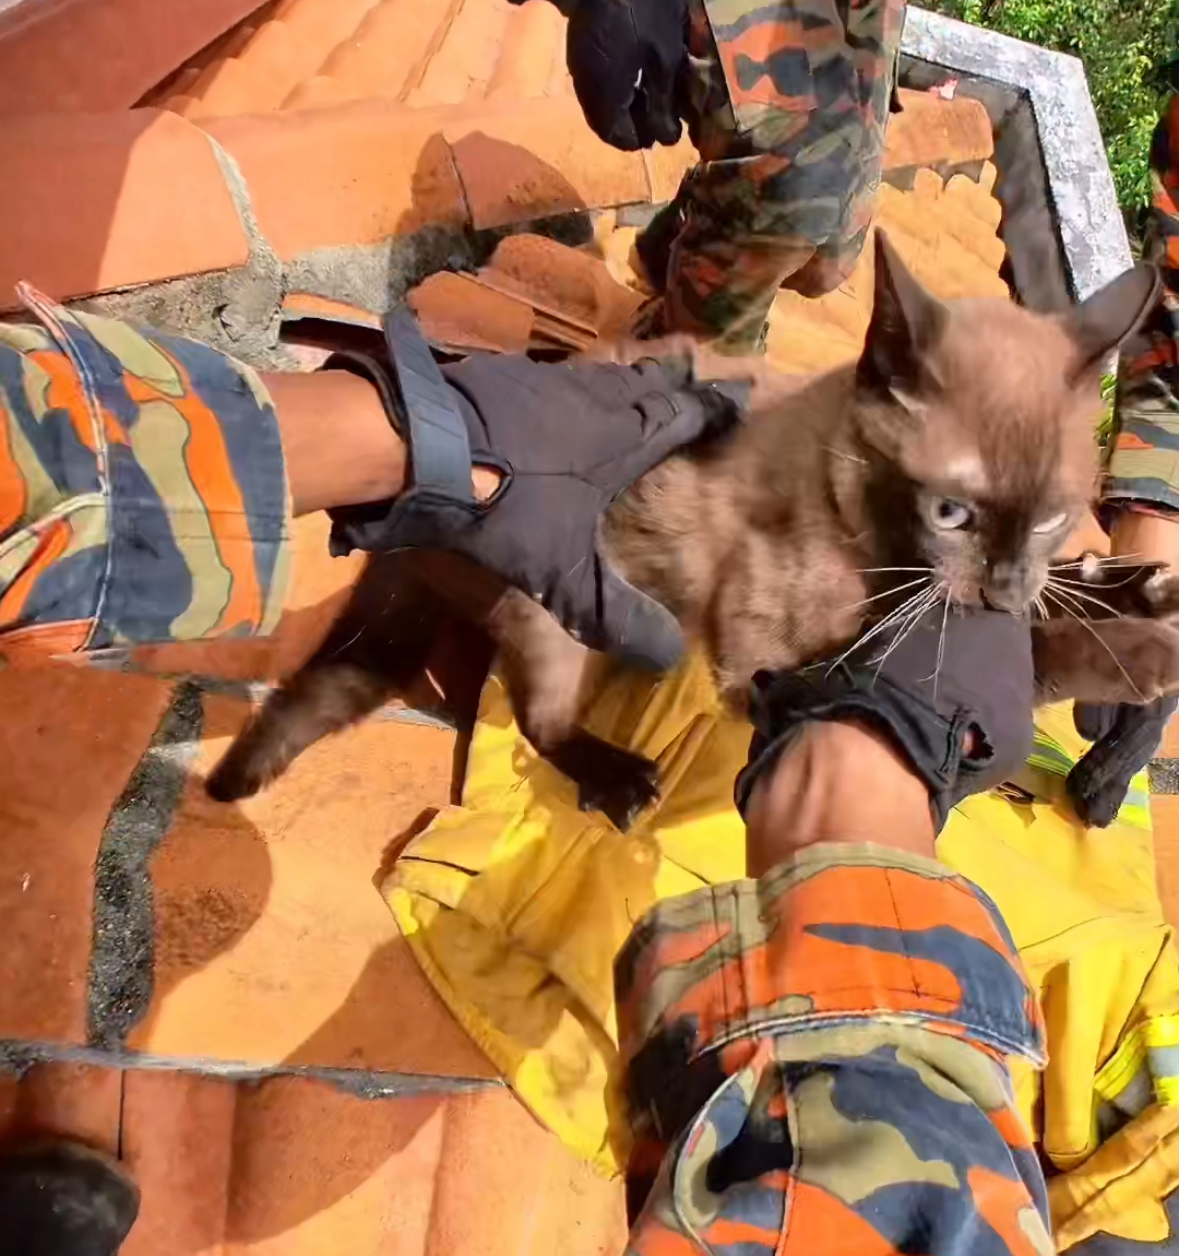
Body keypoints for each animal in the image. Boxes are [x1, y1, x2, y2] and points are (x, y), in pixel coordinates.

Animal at [207, 233, 1175, 823]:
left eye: (1052, 518)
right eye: (951, 513)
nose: (1003, 586)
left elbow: (1062, 625)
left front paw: (1136, 602)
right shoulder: (777, 666)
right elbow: (1017, 657)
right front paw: (1139, 647)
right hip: (562, 614)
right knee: (539, 726)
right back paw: (621, 779)